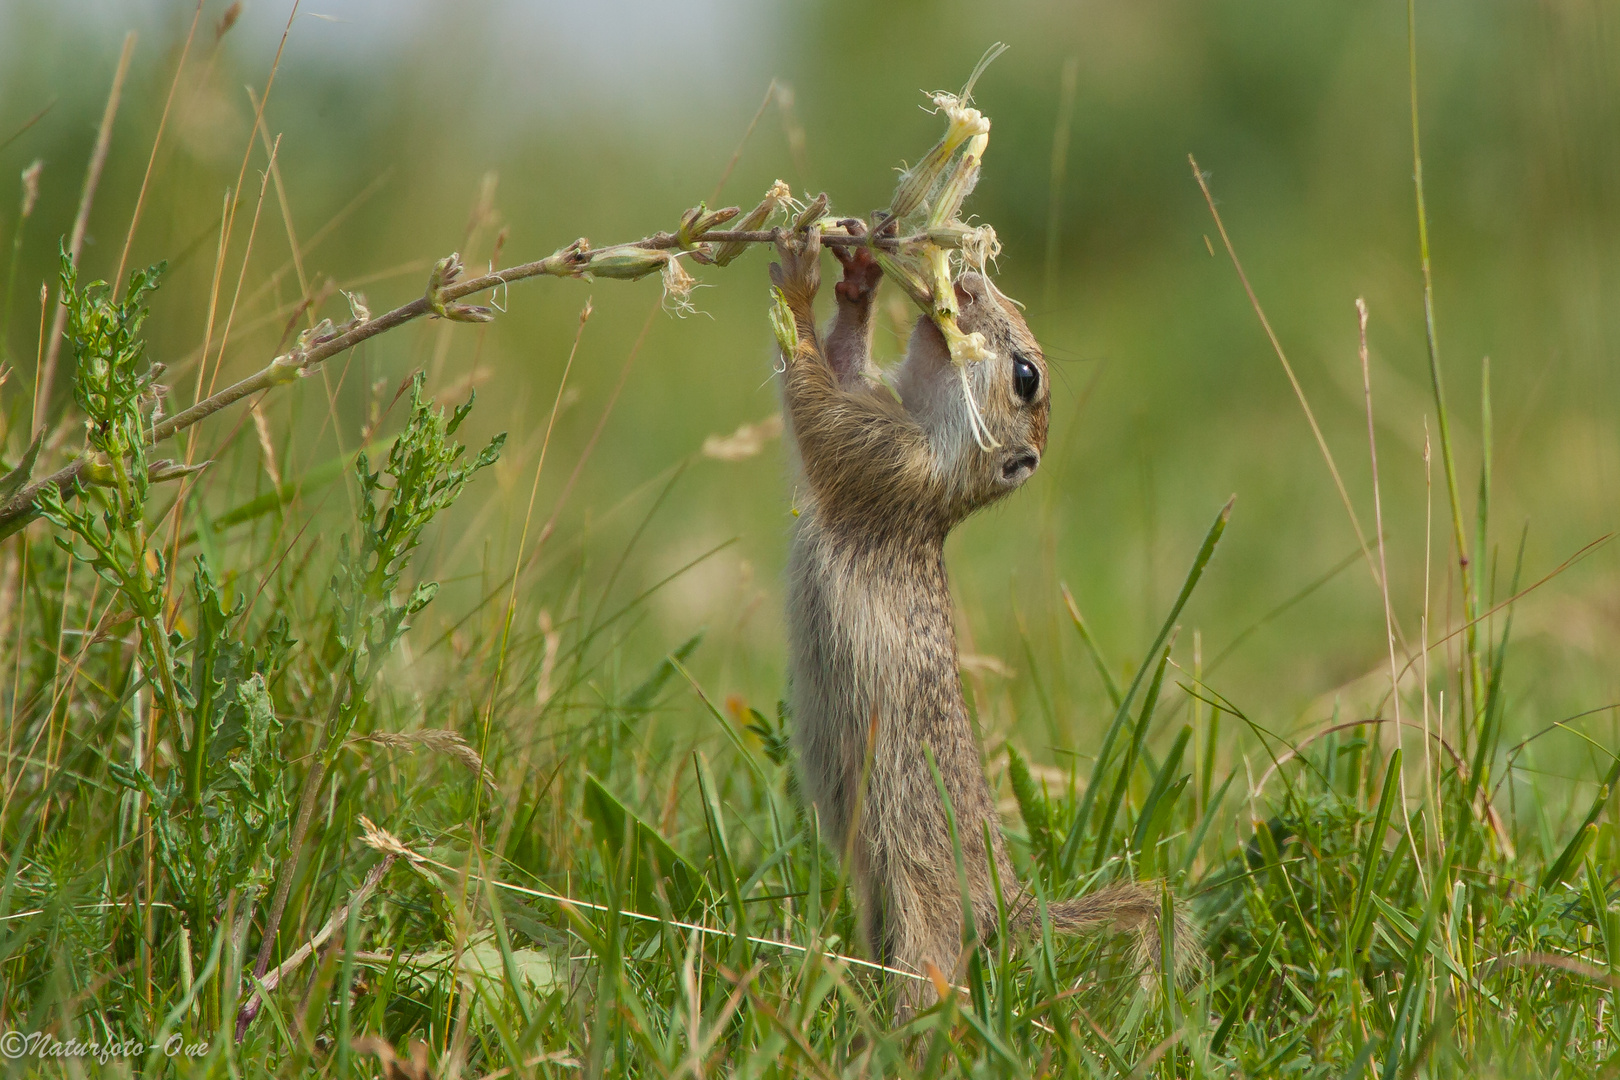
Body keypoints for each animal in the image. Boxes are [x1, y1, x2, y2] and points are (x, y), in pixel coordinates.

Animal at [771, 223, 1192, 1016]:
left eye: (1026, 376)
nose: (965, 284)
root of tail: (1012, 903)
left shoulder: (887, 460)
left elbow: (816, 406)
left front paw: (800, 279)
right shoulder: (882, 417)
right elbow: (841, 370)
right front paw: (858, 279)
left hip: (922, 901)